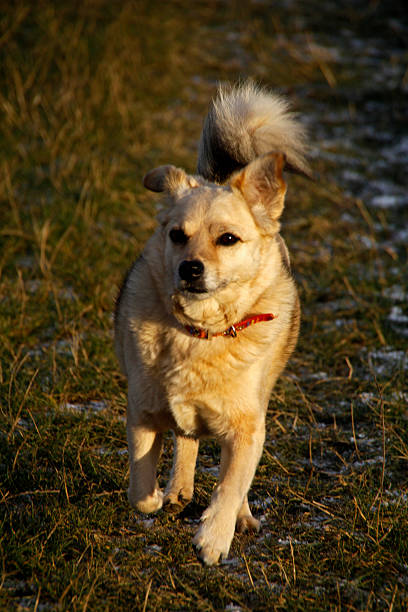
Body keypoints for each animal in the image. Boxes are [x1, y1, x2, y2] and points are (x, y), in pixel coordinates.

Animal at [113, 81, 310, 564]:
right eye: (176, 235)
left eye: (228, 239)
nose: (190, 268)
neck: (199, 333)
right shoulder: (142, 409)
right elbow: (140, 489)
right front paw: (157, 497)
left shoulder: (247, 427)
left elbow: (232, 482)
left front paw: (214, 536)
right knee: (186, 438)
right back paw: (178, 488)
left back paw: (238, 516)